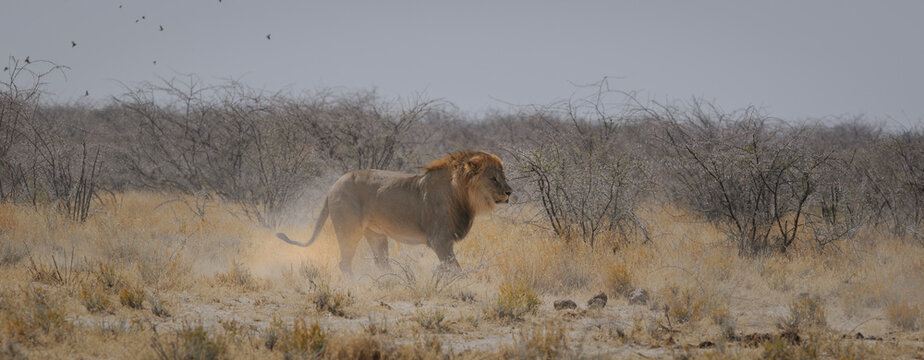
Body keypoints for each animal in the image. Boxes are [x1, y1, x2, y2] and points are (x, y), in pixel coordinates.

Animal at [278, 150, 516, 274]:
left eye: (503, 176)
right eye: (493, 178)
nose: (509, 192)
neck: (463, 195)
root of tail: (332, 187)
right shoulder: (439, 239)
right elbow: (454, 268)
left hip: (377, 236)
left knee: (381, 264)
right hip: (349, 230)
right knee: (344, 264)